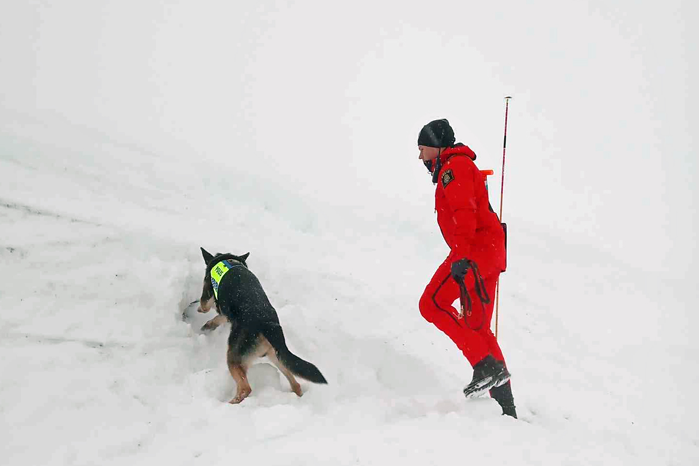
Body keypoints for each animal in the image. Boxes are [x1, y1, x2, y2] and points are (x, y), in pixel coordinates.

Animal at [197, 248, 328, 404]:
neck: (230, 260)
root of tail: (269, 325)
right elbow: (217, 318)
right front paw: (208, 325)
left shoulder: (207, 295)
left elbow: (205, 307)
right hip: (276, 355)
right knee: (296, 383)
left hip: (234, 357)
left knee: (245, 389)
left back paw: (230, 404)